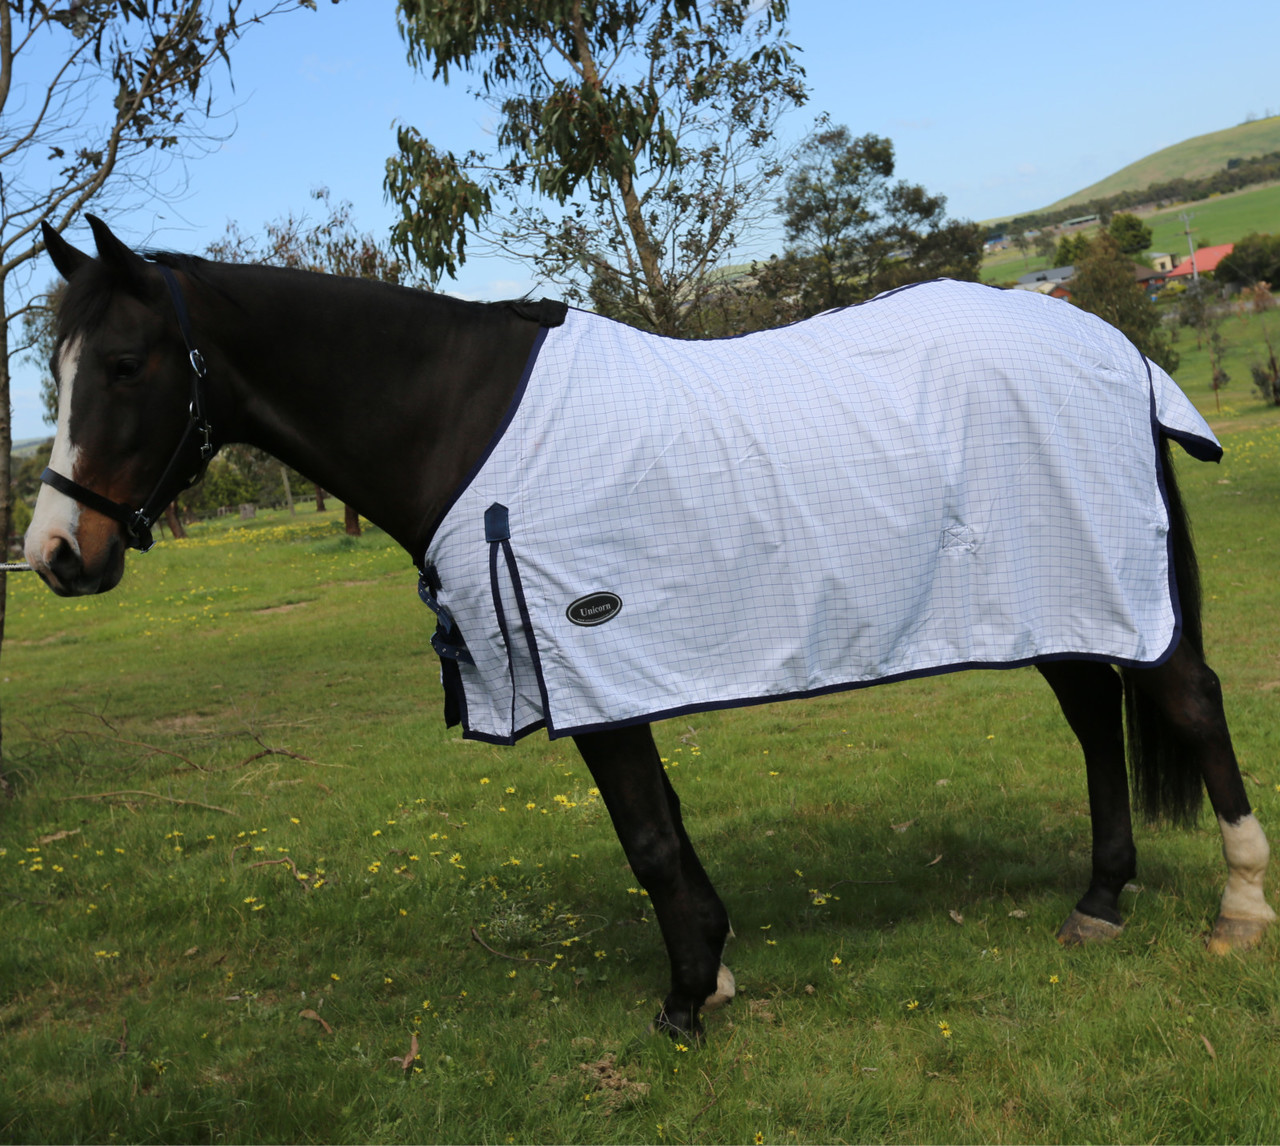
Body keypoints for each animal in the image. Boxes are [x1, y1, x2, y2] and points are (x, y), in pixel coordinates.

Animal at [25, 216, 1275, 1041]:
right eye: (58, 368)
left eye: (125, 365)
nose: (53, 555)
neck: (460, 422)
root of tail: (1105, 345)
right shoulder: (607, 670)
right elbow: (663, 823)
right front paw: (708, 968)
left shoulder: (585, 657)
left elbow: (646, 835)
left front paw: (684, 1001)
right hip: (1045, 587)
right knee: (1093, 718)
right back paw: (1099, 902)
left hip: (1106, 582)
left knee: (1186, 703)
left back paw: (1236, 910)